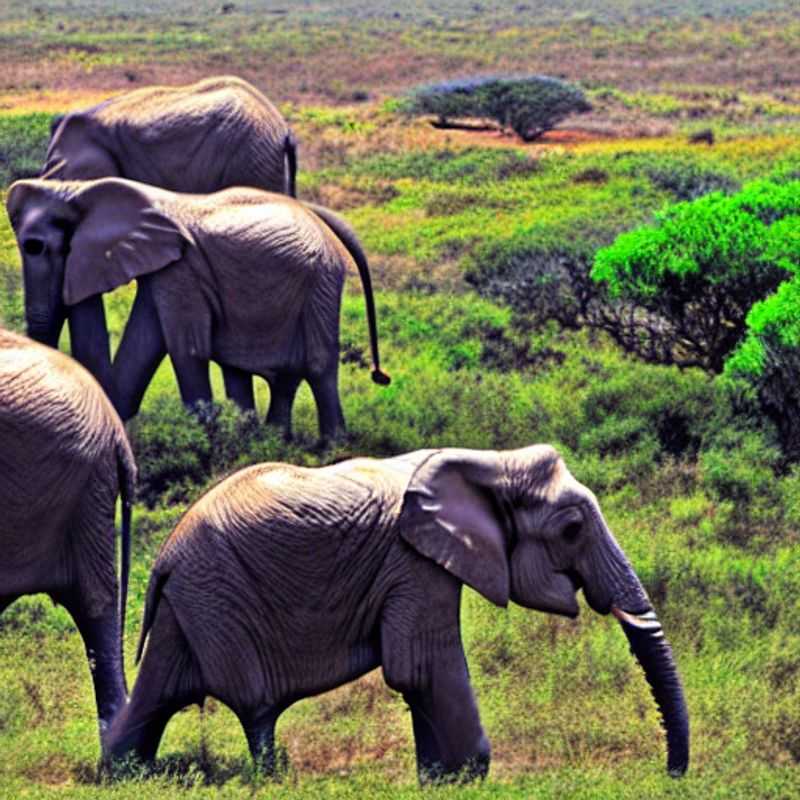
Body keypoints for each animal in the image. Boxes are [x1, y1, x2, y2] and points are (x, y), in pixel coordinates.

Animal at [7, 176, 390, 440]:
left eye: (35, 247)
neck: (76, 189)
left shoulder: (182, 268)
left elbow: (186, 350)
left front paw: (206, 443)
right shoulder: (165, 266)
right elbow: (145, 346)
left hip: (320, 281)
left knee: (317, 366)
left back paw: (330, 447)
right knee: (275, 374)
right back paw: (270, 441)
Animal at [105, 444, 688, 782]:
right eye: (570, 529)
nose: (671, 776)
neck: (488, 460)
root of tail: (164, 557)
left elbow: (419, 675)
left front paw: (439, 781)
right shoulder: (413, 561)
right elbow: (422, 668)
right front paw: (464, 778)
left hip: (194, 599)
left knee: (158, 694)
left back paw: (123, 773)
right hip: (217, 591)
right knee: (256, 706)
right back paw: (271, 777)